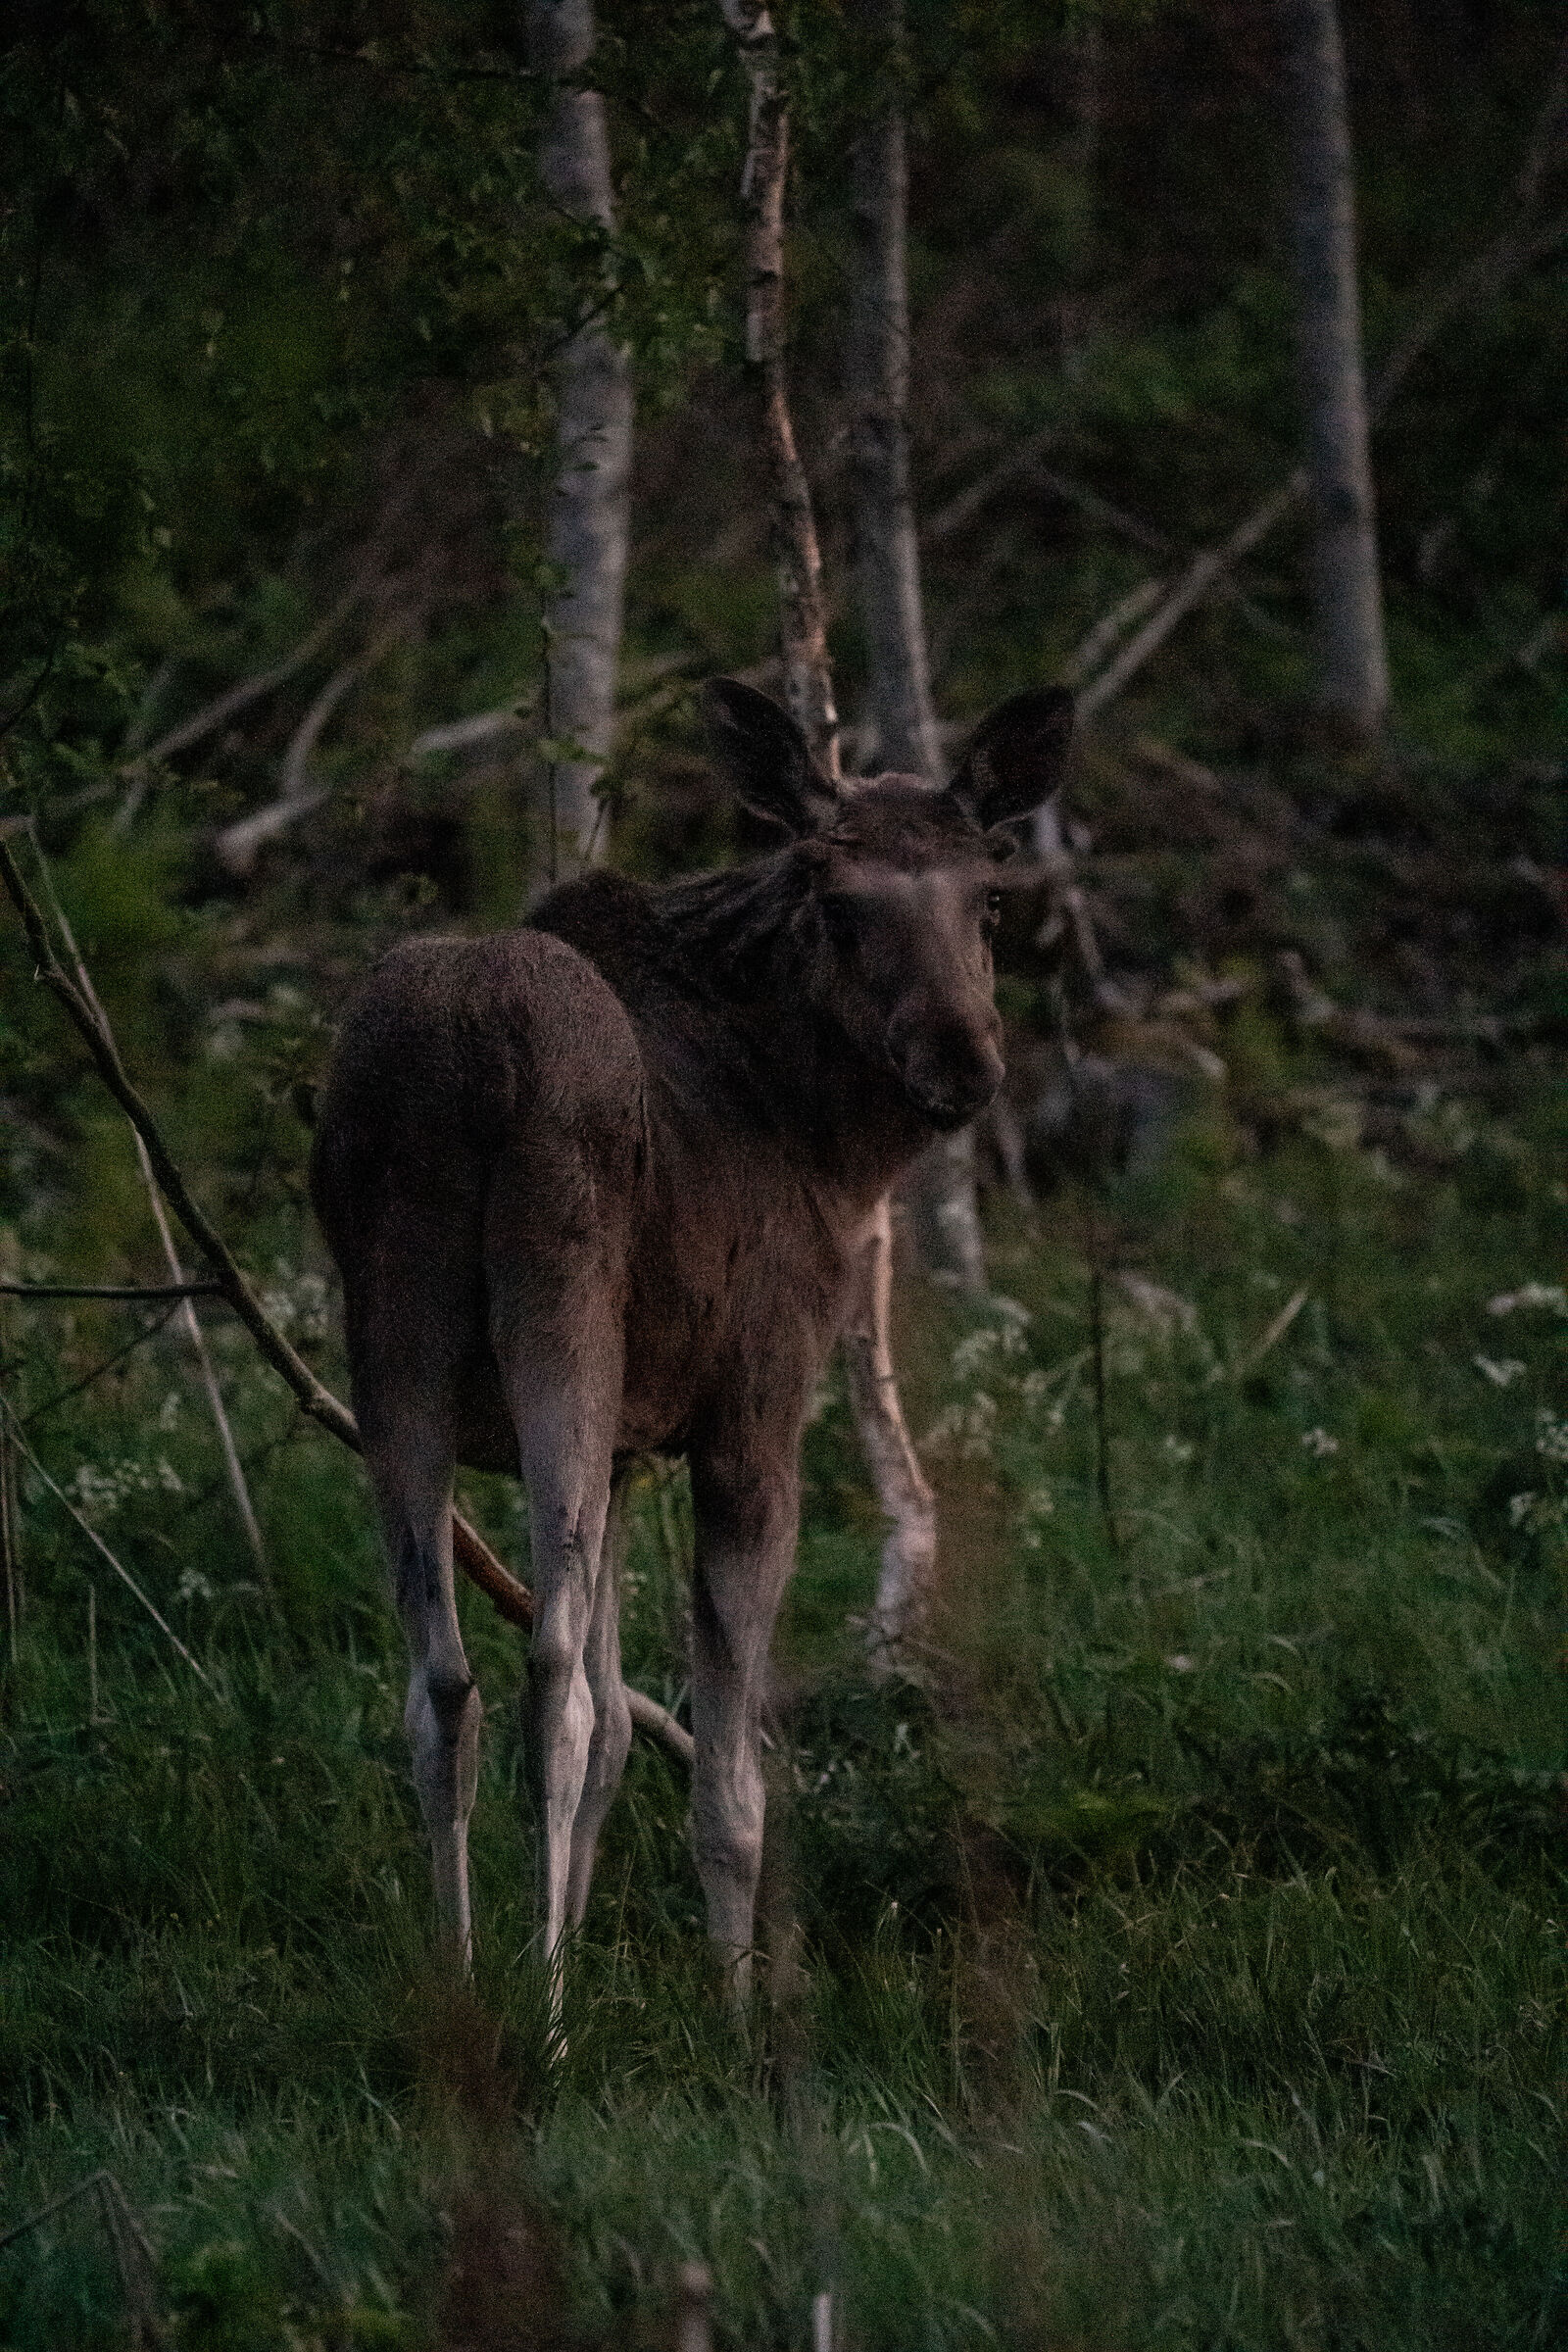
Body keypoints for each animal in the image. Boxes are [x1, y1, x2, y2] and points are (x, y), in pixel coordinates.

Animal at [309, 677, 1074, 1998]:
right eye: (836, 900)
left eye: (987, 891)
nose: (961, 1063)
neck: (826, 1140)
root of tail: (460, 1054)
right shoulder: (751, 1414)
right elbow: (725, 1777)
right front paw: (739, 2004)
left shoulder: (626, 1447)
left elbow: (626, 1726)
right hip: (560, 1324)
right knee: (548, 1675)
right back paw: (545, 2012)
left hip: (391, 1345)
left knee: (443, 1678)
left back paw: (463, 1987)